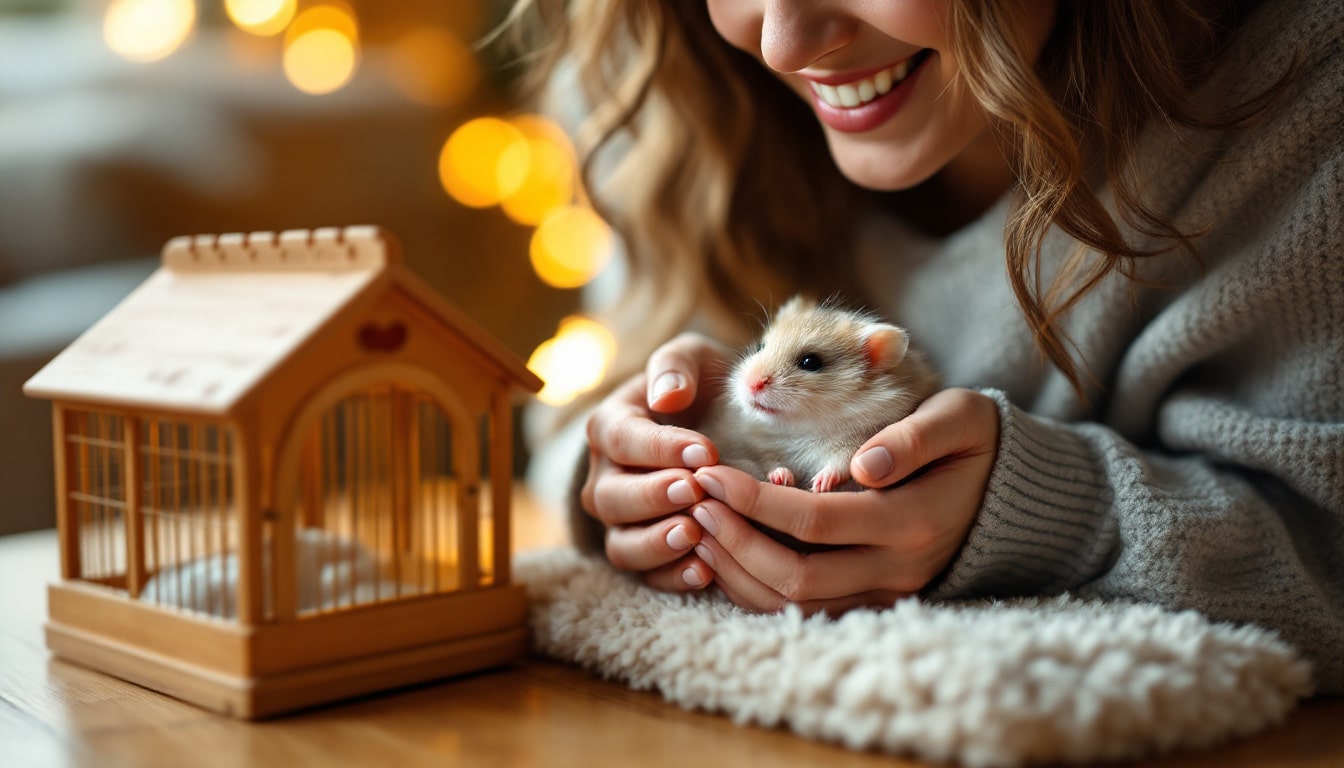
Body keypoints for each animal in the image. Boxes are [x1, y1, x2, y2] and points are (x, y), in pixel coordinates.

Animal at [698, 294, 940, 492]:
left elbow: (841, 463)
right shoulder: (759, 448)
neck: (800, 431)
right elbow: (769, 462)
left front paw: (820, 484)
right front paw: (782, 478)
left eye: (810, 362)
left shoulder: (856, 443)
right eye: (760, 346)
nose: (752, 384)